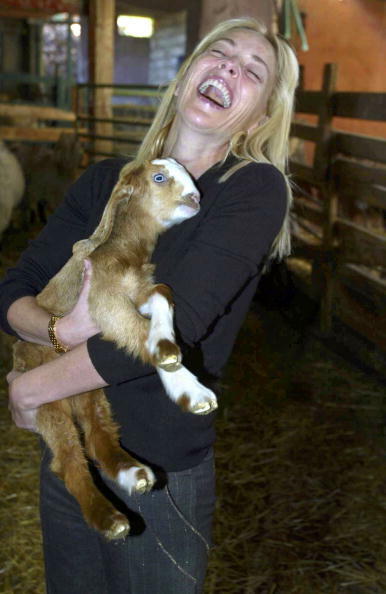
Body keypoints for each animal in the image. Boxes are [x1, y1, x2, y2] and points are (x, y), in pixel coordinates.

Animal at [12, 160, 217, 540]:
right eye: (159, 177)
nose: (196, 198)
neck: (125, 249)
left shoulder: (140, 289)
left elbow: (164, 294)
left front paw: (165, 344)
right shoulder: (104, 301)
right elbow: (136, 330)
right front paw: (187, 385)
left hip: (90, 391)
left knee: (97, 432)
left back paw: (132, 473)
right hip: (48, 403)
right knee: (69, 459)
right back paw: (110, 518)